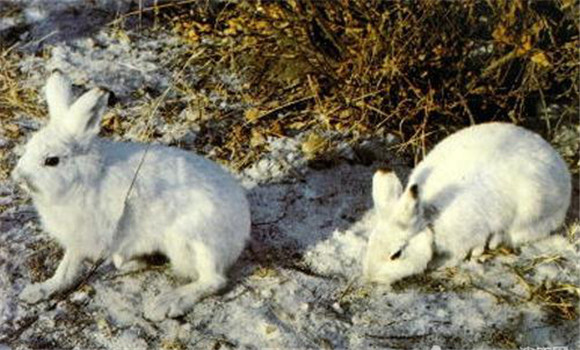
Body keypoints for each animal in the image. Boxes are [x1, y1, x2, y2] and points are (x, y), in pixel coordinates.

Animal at [12, 70, 250, 320]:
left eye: (51, 161)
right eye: (28, 148)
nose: (18, 177)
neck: (86, 176)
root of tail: (243, 228)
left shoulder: (86, 235)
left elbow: (72, 265)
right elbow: (65, 269)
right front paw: (38, 291)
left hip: (196, 241)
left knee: (214, 280)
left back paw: (166, 303)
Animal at [362, 123, 572, 288]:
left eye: (396, 254)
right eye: (370, 242)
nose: (371, 277)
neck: (429, 221)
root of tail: (560, 165)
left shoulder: (467, 237)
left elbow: (462, 252)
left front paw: (443, 264)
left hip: (531, 214)